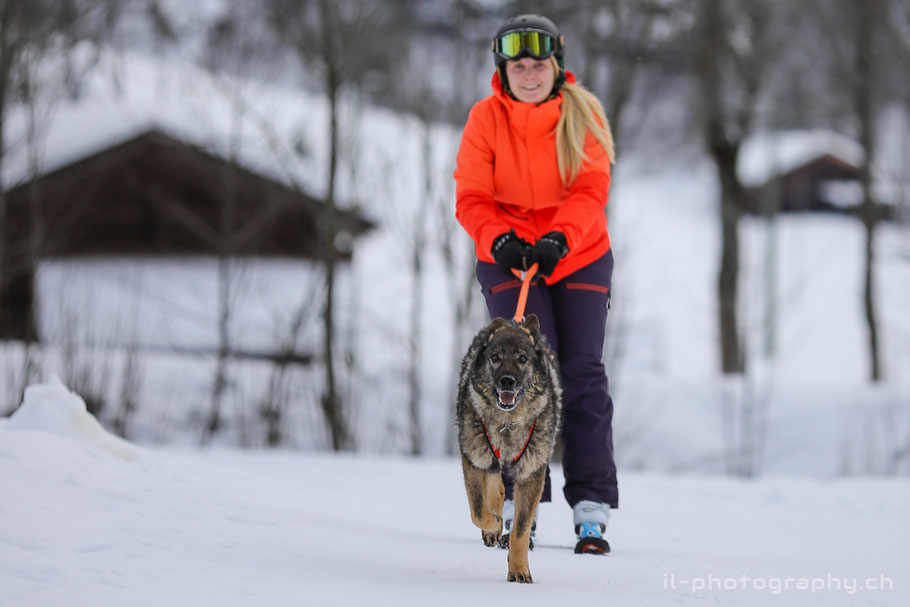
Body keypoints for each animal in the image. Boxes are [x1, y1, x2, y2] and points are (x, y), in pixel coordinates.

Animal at [456, 316, 564, 580]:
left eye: (522, 358)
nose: (507, 380)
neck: (508, 421)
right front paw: (493, 526)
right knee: (495, 483)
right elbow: (478, 511)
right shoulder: (473, 459)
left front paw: (518, 569)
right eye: (495, 357)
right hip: (486, 455)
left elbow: (521, 530)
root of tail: (513, 322)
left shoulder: (531, 473)